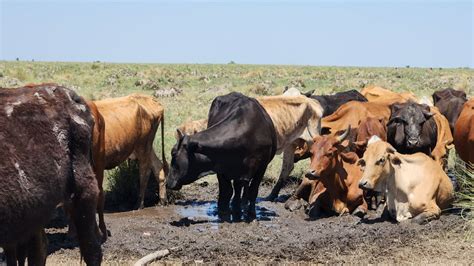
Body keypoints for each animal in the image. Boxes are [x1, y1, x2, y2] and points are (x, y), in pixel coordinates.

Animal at [168, 92, 276, 221]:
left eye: (174, 154)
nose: (168, 182)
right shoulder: (220, 166)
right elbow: (227, 190)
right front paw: (224, 211)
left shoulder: (262, 166)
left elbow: (253, 190)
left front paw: (251, 214)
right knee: (237, 187)